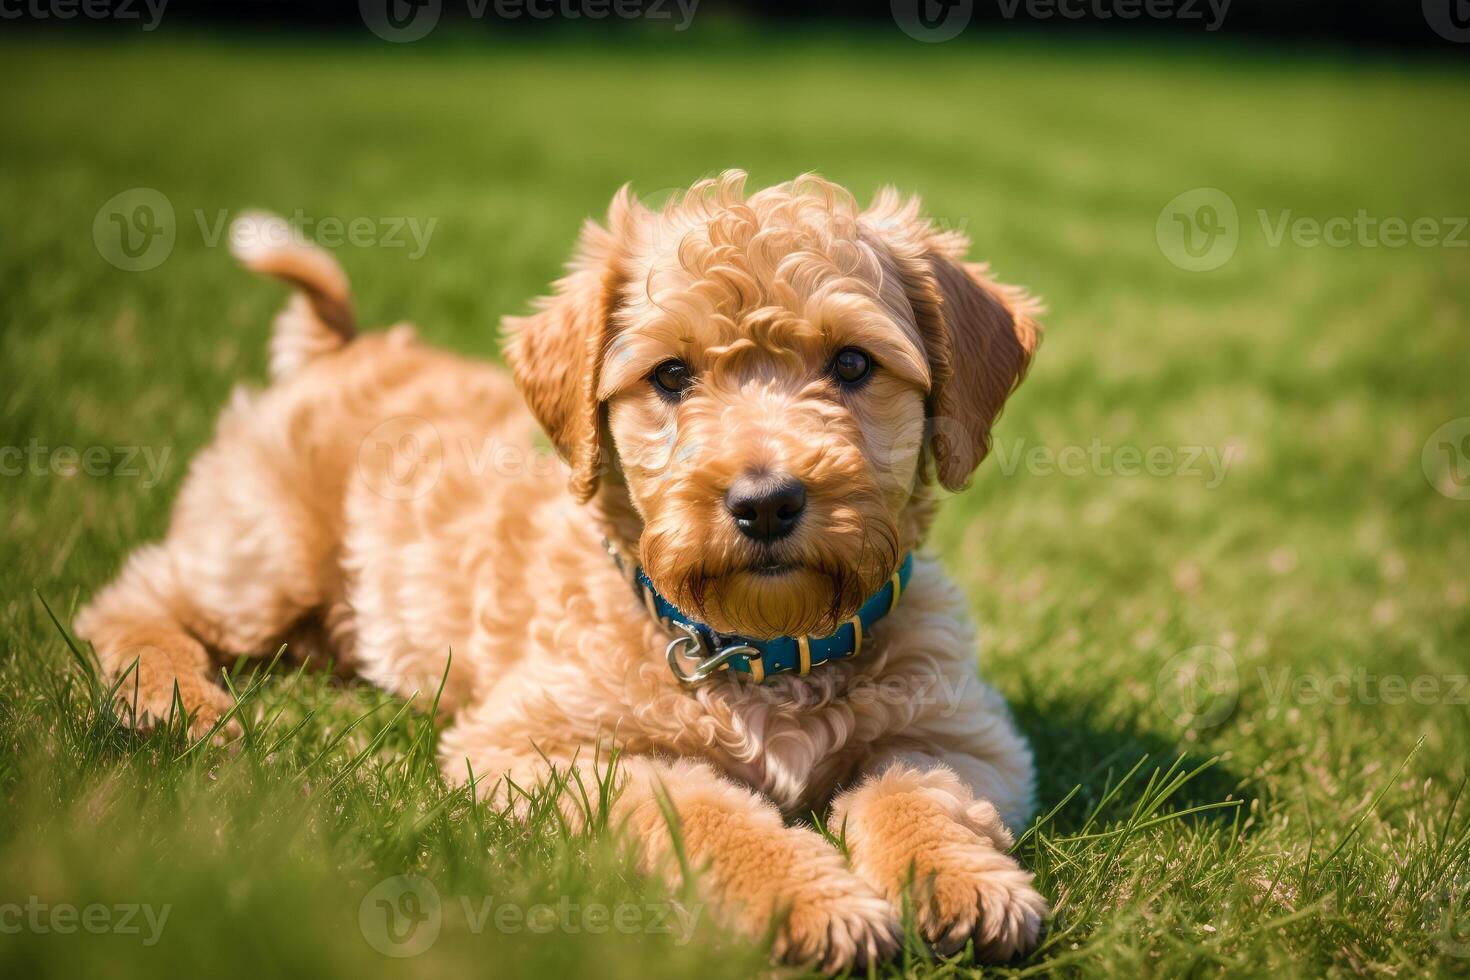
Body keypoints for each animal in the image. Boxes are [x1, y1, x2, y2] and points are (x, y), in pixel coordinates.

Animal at [77, 172, 1046, 969]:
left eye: (853, 363)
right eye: (671, 375)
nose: (766, 502)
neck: (761, 645)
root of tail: (339, 348)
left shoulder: (961, 734)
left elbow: (918, 795)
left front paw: (962, 886)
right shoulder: (540, 743)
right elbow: (700, 809)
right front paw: (807, 901)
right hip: (266, 554)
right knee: (131, 599)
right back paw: (174, 702)